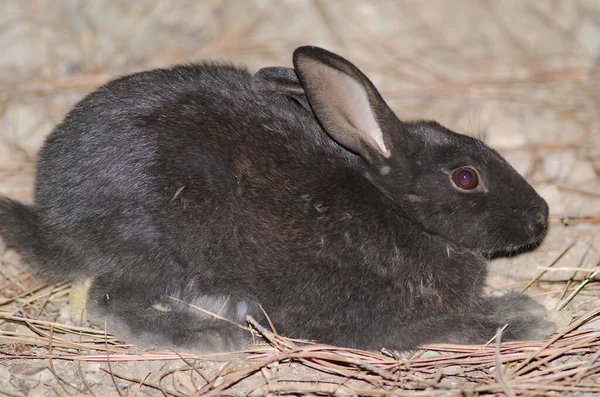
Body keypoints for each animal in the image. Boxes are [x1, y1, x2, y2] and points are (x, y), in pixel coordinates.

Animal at [0, 44, 556, 352]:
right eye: (466, 178)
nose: (541, 218)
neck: (399, 211)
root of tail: (53, 220)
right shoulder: (379, 319)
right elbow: (453, 324)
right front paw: (527, 316)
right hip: (156, 245)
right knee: (108, 301)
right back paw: (208, 337)